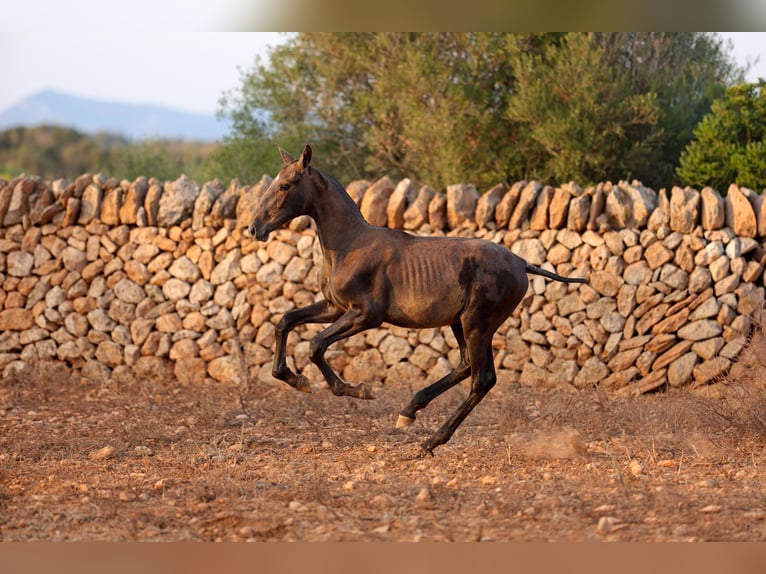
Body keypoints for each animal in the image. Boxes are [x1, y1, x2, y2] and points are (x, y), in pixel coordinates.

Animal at [249, 144, 588, 455]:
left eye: (284, 185)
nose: (255, 228)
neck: (350, 245)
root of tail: (521, 262)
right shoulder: (335, 308)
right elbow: (284, 322)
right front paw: (293, 379)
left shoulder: (365, 315)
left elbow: (315, 344)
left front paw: (356, 389)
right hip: (459, 323)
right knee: (466, 365)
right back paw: (409, 410)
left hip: (478, 325)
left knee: (482, 379)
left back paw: (430, 441)